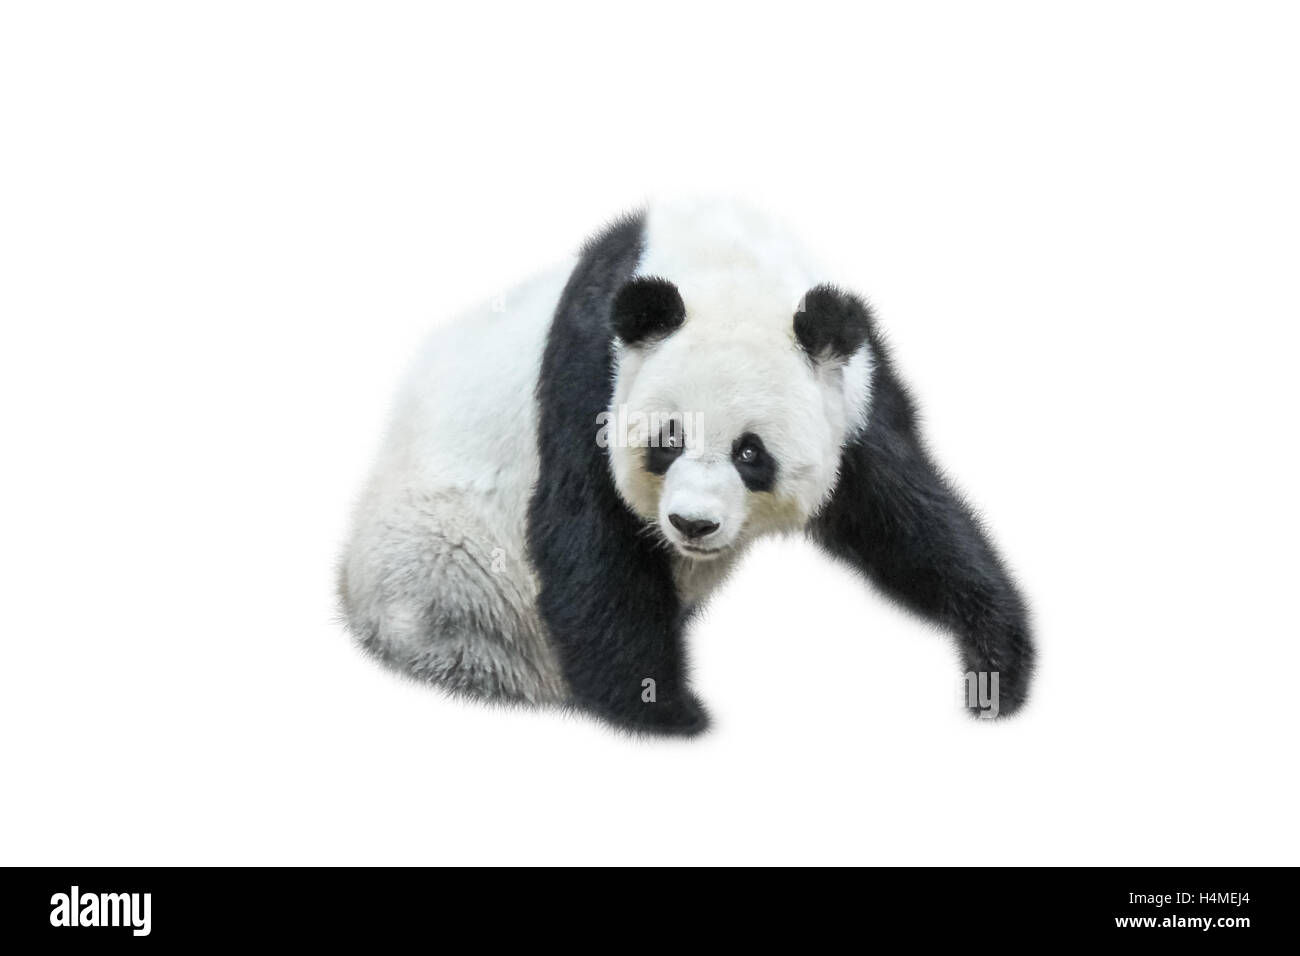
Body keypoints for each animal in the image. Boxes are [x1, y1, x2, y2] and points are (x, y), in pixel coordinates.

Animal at [339, 199, 1034, 736]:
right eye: (666, 442)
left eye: (751, 454)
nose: (692, 525)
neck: (726, 263)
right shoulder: (593, 368)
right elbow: (589, 535)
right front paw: (668, 713)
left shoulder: (850, 388)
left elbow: (902, 517)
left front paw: (995, 666)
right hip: (443, 562)